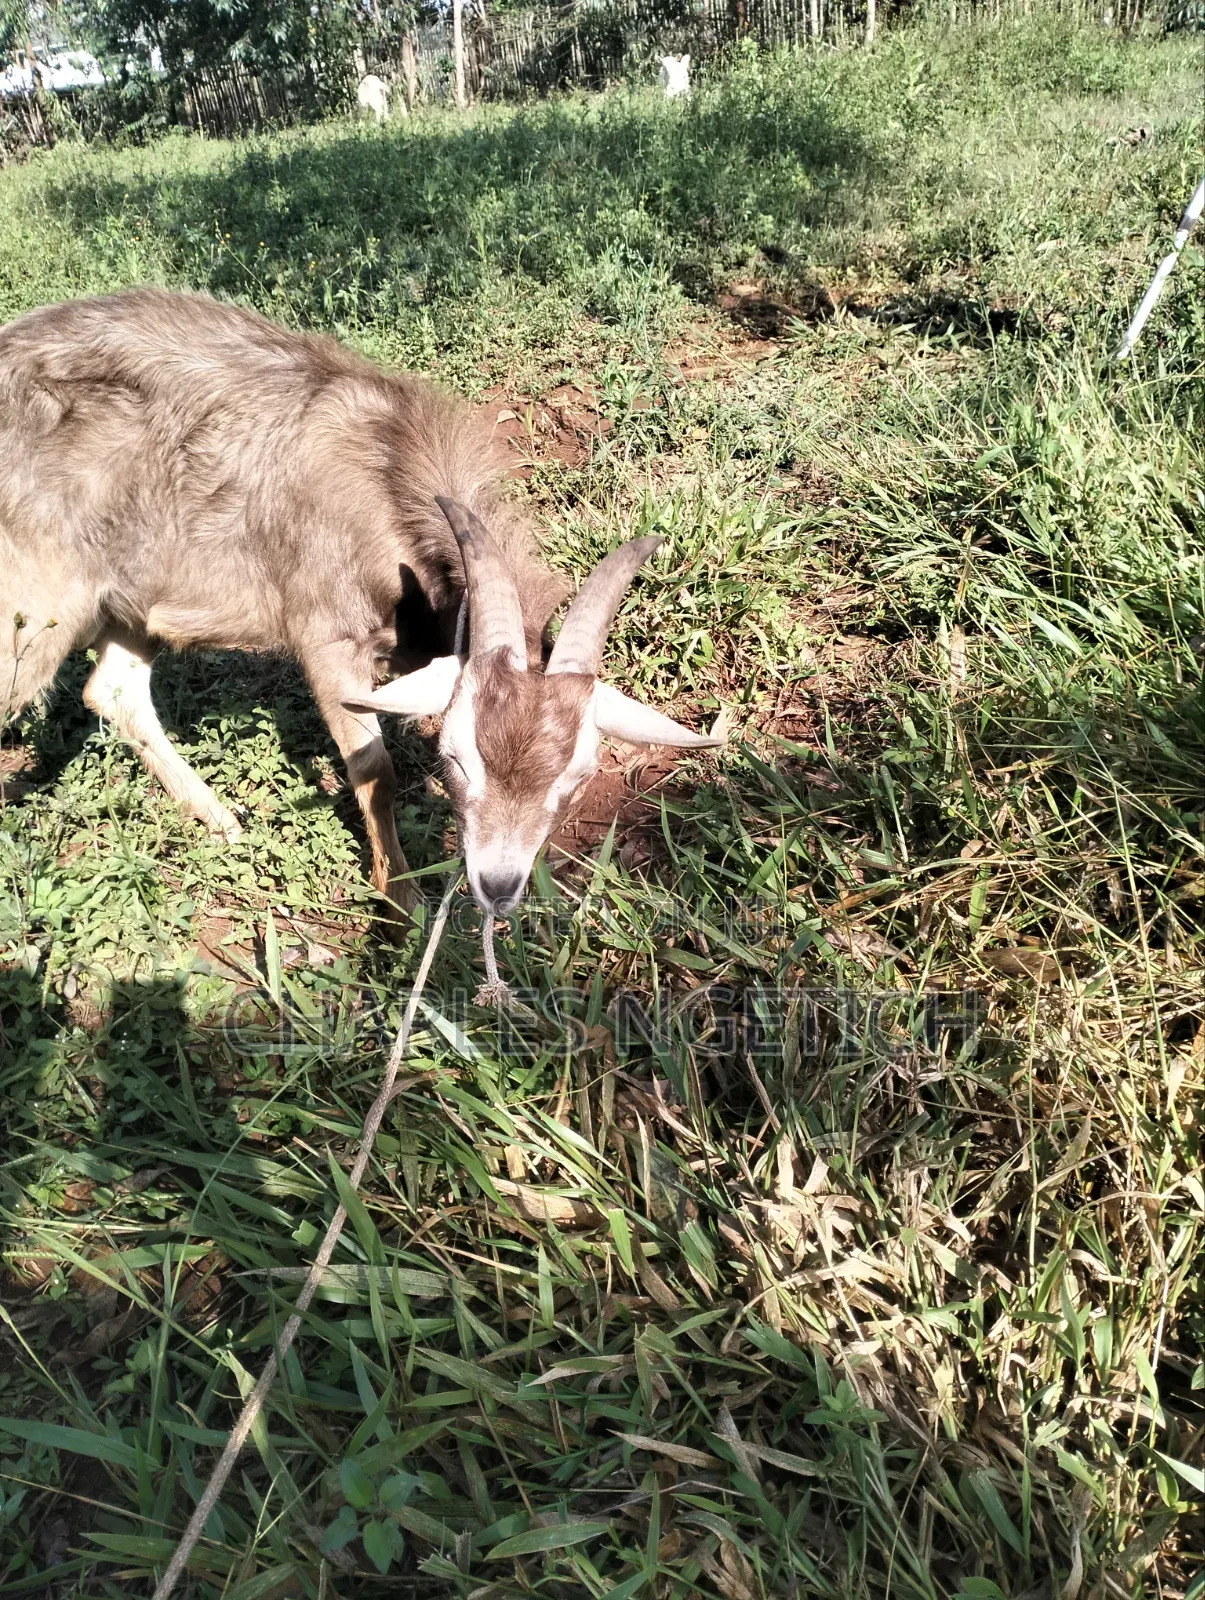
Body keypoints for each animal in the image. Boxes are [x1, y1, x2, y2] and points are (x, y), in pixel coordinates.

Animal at [0, 289, 722, 936]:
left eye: (576, 775)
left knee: (112, 688)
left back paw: (223, 822)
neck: (387, 470)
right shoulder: (327, 635)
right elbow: (374, 767)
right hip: (36, 606)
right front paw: (401, 903)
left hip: (126, 600)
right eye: (456, 757)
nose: (497, 885)